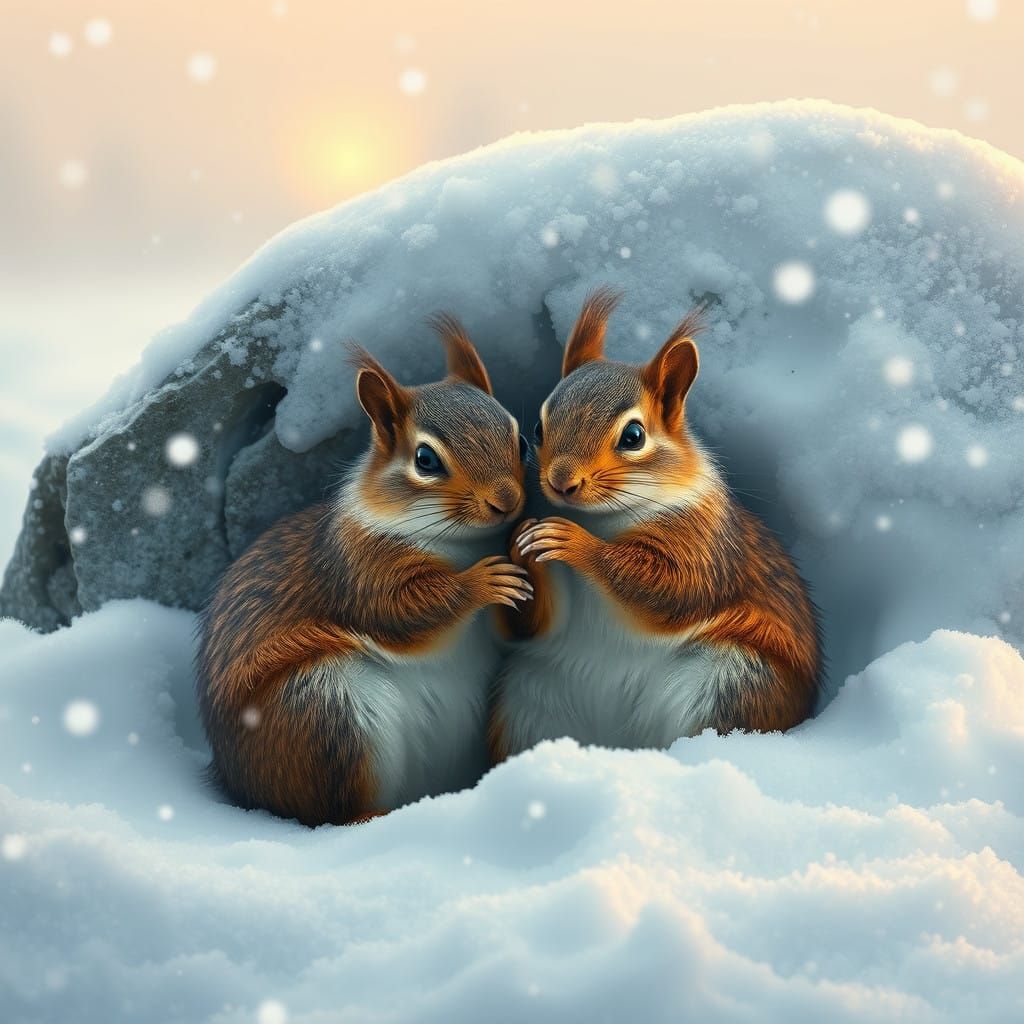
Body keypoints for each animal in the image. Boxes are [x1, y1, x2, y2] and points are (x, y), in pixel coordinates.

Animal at [196, 316, 532, 826]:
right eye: (425, 460)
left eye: (521, 438)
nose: (507, 501)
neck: (464, 544)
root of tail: (247, 791)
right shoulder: (357, 569)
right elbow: (400, 612)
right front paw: (482, 581)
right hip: (325, 713)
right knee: (331, 813)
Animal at [490, 288, 822, 759]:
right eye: (538, 427)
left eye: (633, 436)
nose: (561, 482)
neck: (600, 517)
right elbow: (535, 625)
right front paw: (521, 542)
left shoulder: (703, 541)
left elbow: (671, 590)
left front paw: (571, 540)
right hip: (525, 708)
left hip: (734, 684)